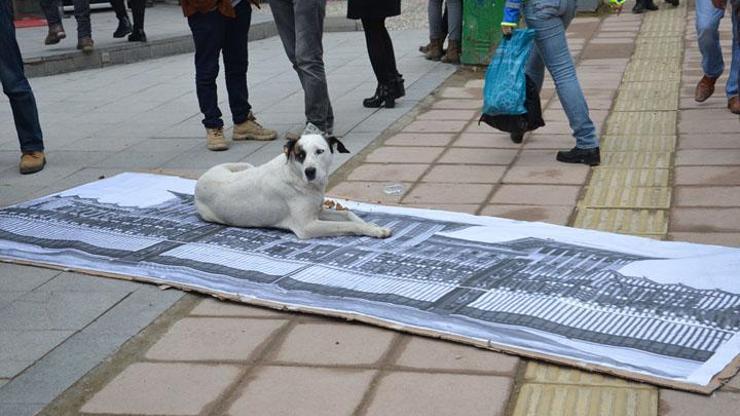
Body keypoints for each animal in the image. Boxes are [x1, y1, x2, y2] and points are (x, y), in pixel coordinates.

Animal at [195, 136, 394, 239]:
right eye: (300, 155)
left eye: (319, 151)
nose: (310, 171)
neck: (296, 176)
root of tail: (200, 181)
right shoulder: (307, 226)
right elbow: (343, 225)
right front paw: (372, 230)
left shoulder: (318, 211)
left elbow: (348, 214)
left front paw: (372, 225)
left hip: (244, 165)